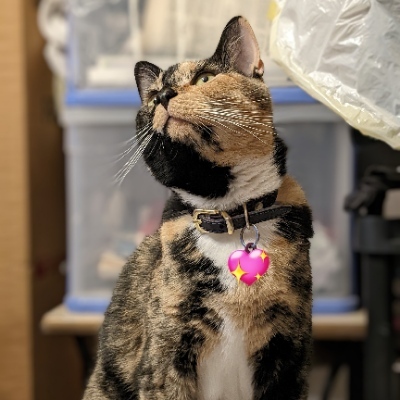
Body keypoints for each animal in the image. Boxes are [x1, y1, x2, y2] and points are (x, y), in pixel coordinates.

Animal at [83, 16, 313, 400]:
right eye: (153, 95)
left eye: (205, 78)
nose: (162, 96)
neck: (230, 213)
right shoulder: (165, 358)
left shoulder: (288, 354)